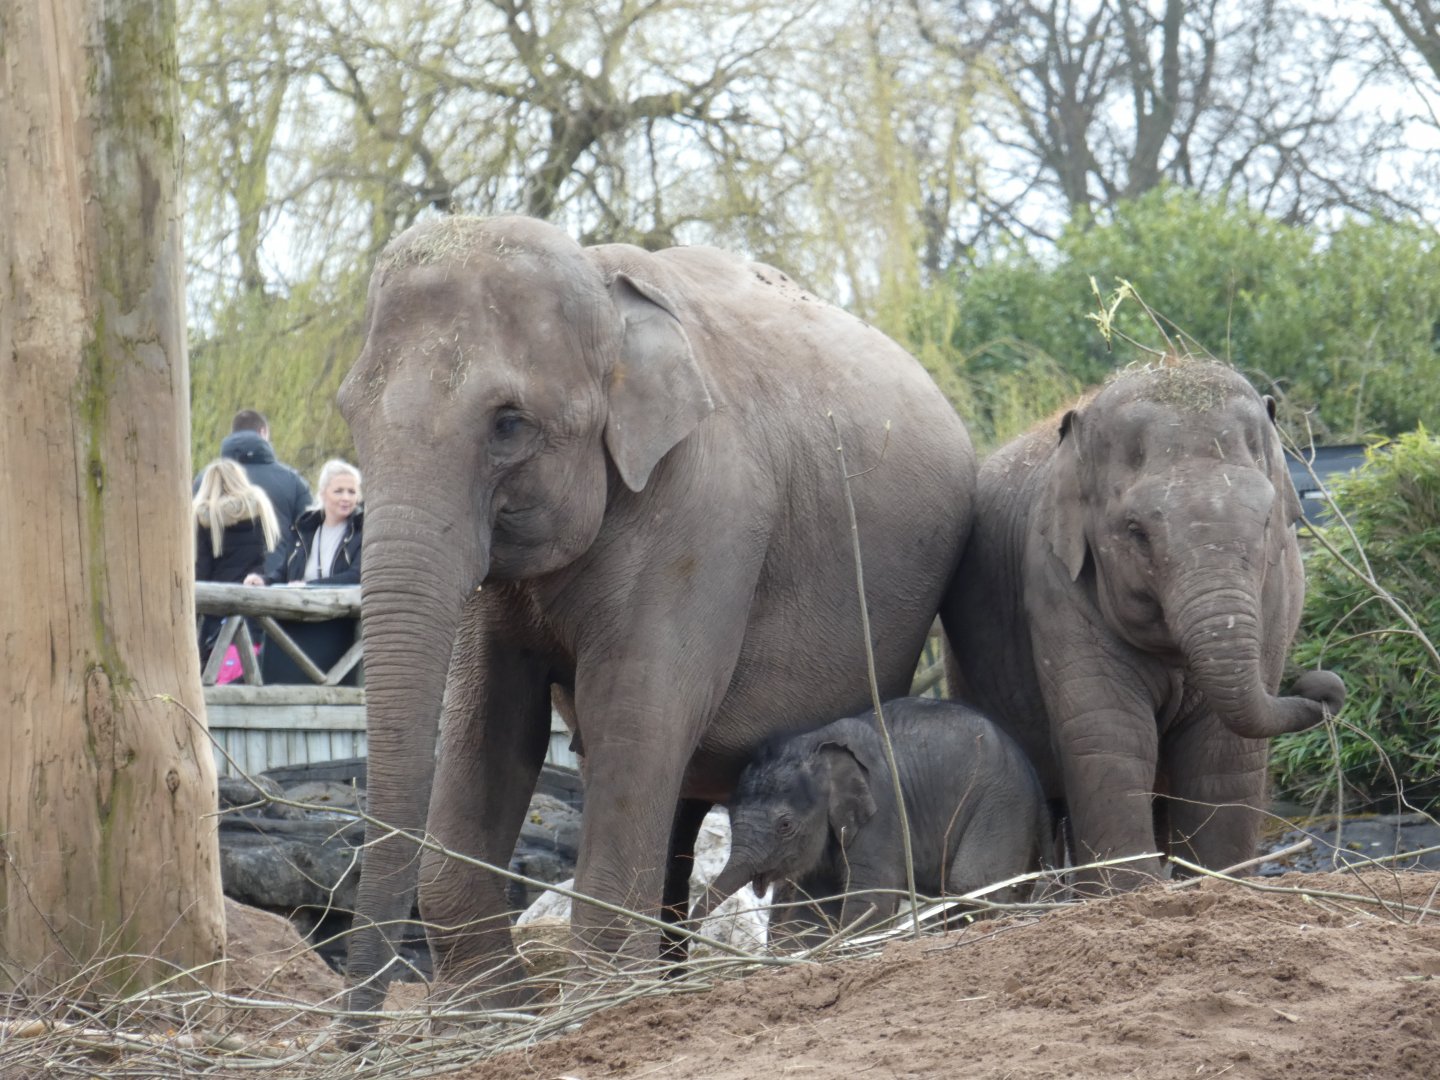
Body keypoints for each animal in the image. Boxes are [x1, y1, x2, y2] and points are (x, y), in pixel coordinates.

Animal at [335, 215, 976, 1012]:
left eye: (509, 424)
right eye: (350, 412)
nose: (356, 1030)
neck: (609, 301)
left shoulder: (707, 513)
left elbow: (635, 717)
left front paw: (593, 1008)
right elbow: (490, 722)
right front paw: (491, 1018)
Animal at [694, 696, 1051, 936]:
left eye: (785, 825)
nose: (688, 930)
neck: (815, 747)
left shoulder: (882, 814)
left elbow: (871, 896)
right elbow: (814, 904)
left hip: (1001, 802)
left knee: (971, 883)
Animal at [940, 358, 1344, 892]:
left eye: (1264, 524)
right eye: (1136, 532)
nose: (1320, 685)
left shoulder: (1280, 590)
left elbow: (1222, 749)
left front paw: (1217, 883)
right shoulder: (1054, 580)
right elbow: (1111, 730)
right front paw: (1131, 892)